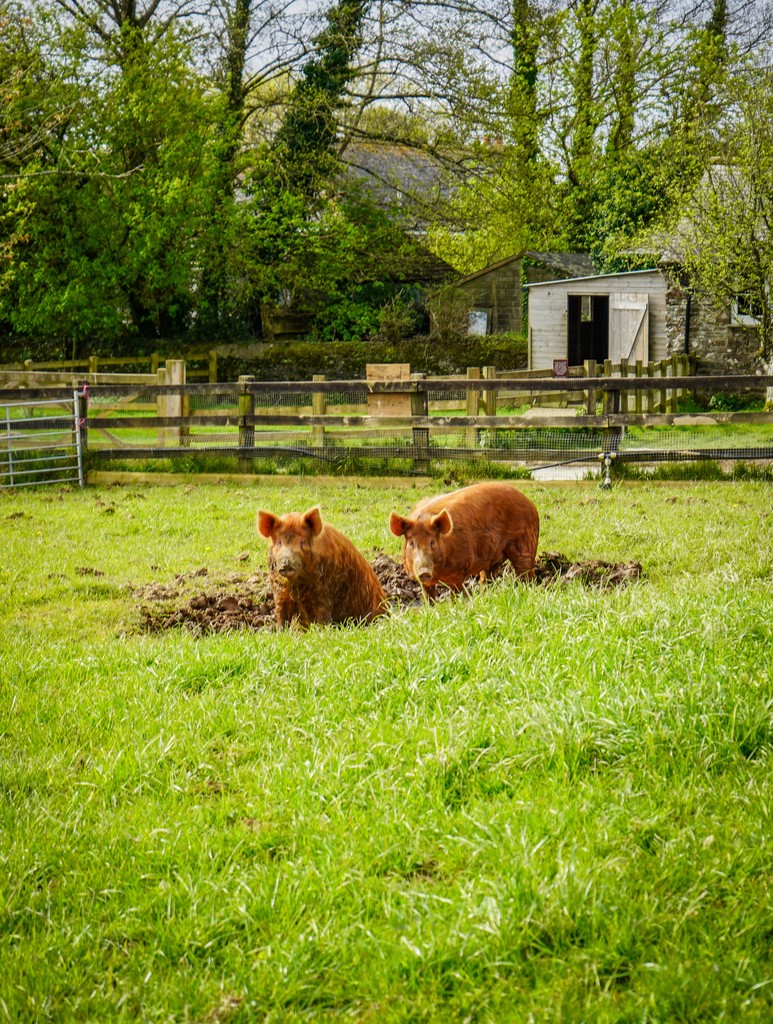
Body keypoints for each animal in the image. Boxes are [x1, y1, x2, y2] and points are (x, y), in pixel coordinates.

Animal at [256, 505, 387, 626]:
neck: (297, 587)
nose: (287, 563)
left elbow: (323, 616)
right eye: (279, 542)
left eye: (302, 542)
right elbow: (281, 615)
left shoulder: (325, 591)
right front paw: (280, 632)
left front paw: (321, 629)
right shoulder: (279, 592)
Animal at [389, 481, 540, 598]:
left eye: (432, 542)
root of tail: (531, 504)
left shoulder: (458, 571)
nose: (424, 571)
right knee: (487, 577)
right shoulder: (424, 583)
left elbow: (457, 594)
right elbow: (428, 597)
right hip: (493, 556)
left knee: (527, 574)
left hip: (525, 544)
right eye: (411, 543)